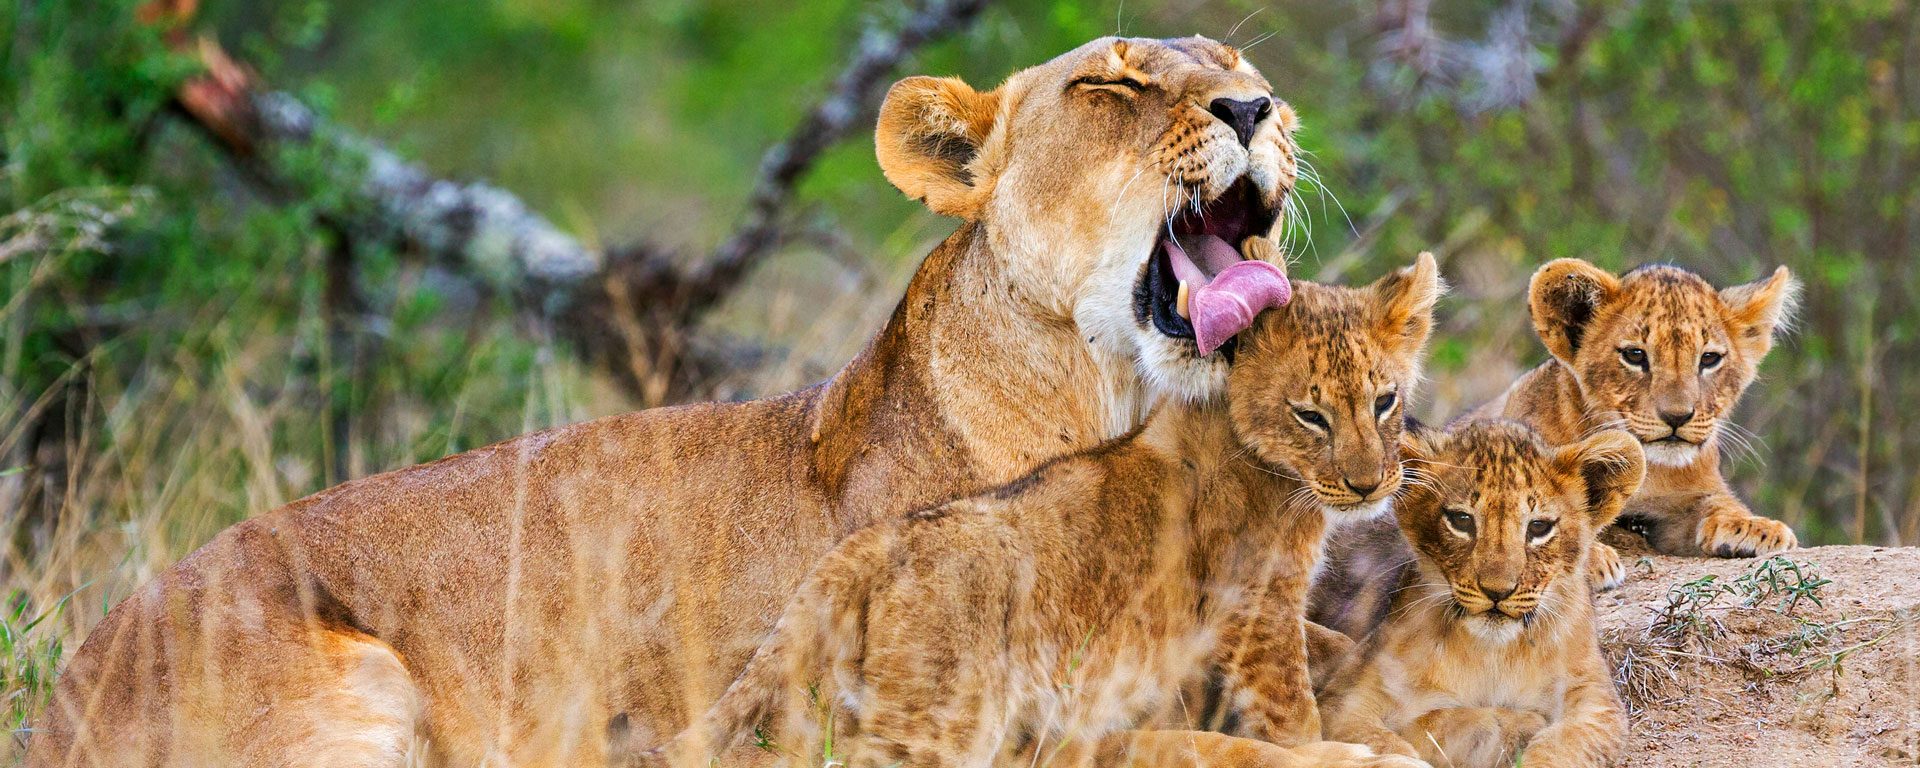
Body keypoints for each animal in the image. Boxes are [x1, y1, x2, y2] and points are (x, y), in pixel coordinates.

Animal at [29, 37, 1312, 768]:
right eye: (1112, 82)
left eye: (1238, 64)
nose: (1260, 109)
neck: (1121, 407)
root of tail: (58, 702)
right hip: (358, 681)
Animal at [639, 257, 1443, 768]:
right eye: (1311, 415)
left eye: (1384, 401)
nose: (1370, 486)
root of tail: (870, 543)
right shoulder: (1257, 605)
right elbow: (1290, 714)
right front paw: (1340, 749)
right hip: (945, 716)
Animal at [1317, 421, 1642, 768]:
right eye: (1461, 520)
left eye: (1539, 527)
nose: (1497, 591)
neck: (1493, 654)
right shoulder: (1345, 698)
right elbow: (1384, 741)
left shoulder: (1594, 701)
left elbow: (1561, 746)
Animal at [1470, 259, 1800, 589]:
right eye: (1634, 355)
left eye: (1709, 359)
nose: (1677, 416)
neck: (1649, 470)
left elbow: (1720, 500)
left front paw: (1753, 527)